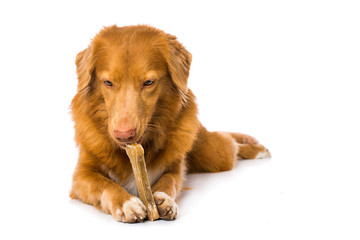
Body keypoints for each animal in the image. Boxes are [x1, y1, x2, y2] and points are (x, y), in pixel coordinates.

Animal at [70, 24, 270, 223]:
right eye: (108, 82)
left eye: (149, 82)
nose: (123, 135)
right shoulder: (81, 175)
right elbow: (104, 184)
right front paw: (125, 202)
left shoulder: (175, 167)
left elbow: (169, 181)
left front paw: (164, 198)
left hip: (215, 156)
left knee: (230, 143)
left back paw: (258, 150)